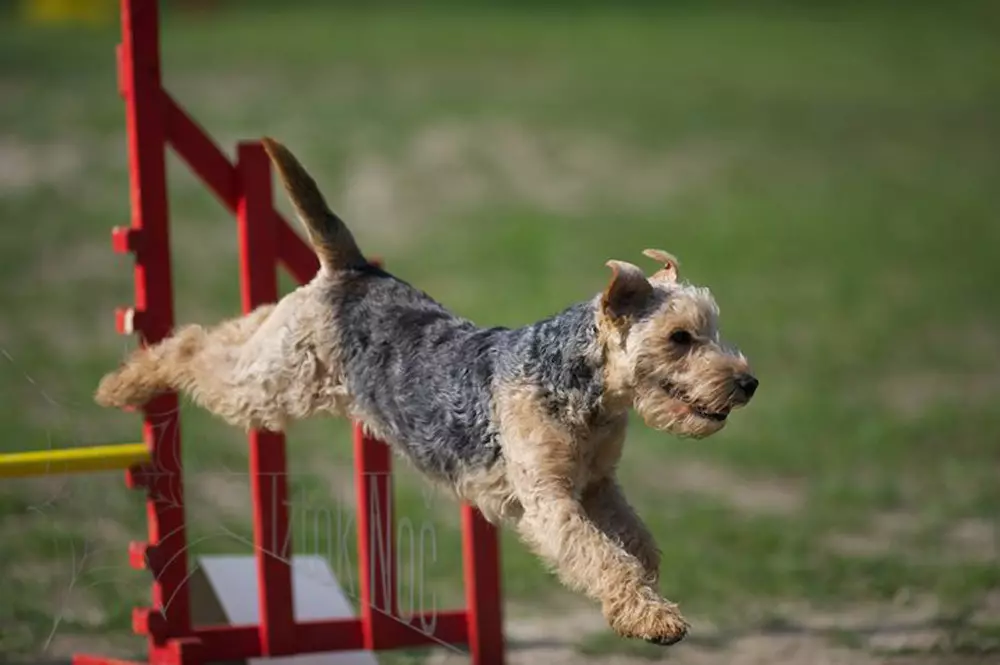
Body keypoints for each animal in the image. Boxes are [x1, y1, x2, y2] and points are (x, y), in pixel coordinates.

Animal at [95, 139, 756, 644]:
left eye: (713, 330)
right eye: (679, 337)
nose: (748, 383)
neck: (584, 391)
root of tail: (354, 267)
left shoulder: (597, 485)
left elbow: (638, 546)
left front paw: (647, 602)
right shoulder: (550, 500)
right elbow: (605, 558)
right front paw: (652, 619)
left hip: (274, 349)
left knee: (226, 328)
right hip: (272, 385)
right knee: (193, 349)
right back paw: (122, 381)